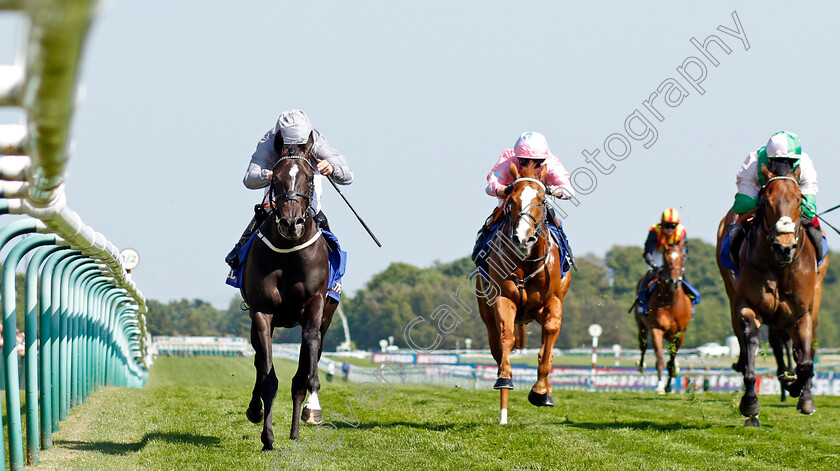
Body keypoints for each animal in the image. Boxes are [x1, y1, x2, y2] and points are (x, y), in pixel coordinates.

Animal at [240, 132, 338, 450]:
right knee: (259, 361)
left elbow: (305, 368)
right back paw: (257, 410)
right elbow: (268, 376)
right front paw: (267, 436)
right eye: (277, 178)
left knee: (307, 366)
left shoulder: (315, 306)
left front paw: (309, 413)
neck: (289, 253)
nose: (291, 223)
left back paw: (300, 426)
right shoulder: (262, 312)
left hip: (326, 316)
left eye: (309, 177)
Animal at [476, 161, 576, 424]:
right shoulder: (504, 299)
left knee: (546, 350)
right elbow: (507, 337)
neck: (527, 262)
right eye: (511, 200)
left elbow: (549, 338)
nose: (523, 237)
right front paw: (504, 378)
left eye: (541, 200)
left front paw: (540, 391)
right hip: (486, 312)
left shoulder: (553, 301)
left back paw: (546, 391)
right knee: (497, 346)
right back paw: (503, 413)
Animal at [636, 243, 688, 394]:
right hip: (641, 325)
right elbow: (659, 359)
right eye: (665, 259)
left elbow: (671, 360)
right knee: (643, 346)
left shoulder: (680, 333)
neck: (670, 301)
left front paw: (669, 385)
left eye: (682, 258)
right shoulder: (656, 329)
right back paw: (641, 365)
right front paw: (659, 385)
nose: (674, 281)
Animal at [716, 166, 828, 428]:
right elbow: (751, 342)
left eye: (799, 200)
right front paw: (750, 404)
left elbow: (805, 363)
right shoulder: (747, 306)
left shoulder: (802, 313)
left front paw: (797, 389)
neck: (780, 267)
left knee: (803, 351)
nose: (784, 247)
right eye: (766, 201)